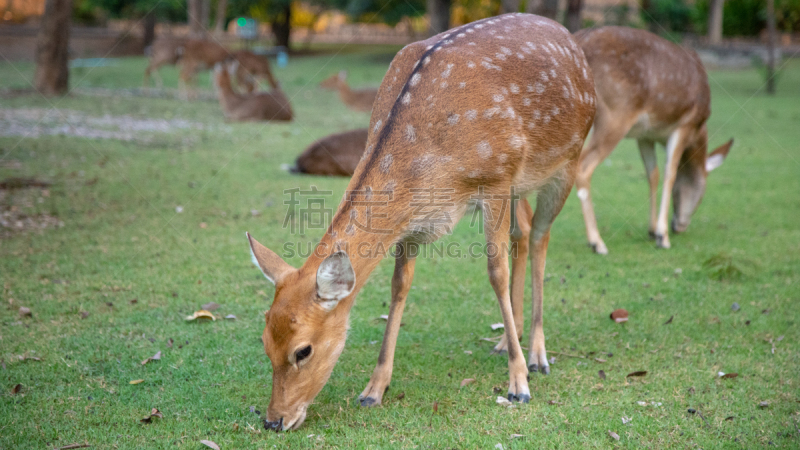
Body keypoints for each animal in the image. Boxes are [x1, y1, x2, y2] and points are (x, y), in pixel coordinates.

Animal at [247, 12, 596, 430]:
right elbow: (399, 285)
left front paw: (519, 384)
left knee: (541, 234)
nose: (274, 420)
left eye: (303, 350)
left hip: (566, 159)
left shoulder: (496, 178)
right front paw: (373, 389)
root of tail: (573, 42)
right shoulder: (415, 220)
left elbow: (495, 272)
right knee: (524, 230)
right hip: (521, 184)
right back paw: (502, 342)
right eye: (265, 341)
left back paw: (538, 355)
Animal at [576, 27, 732, 253]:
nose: (679, 226)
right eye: (703, 192)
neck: (699, 130)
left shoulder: (645, 135)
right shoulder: (684, 125)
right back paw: (597, 242)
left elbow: (653, 174)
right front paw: (662, 236)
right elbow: (670, 173)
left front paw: (651, 231)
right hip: (615, 114)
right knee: (583, 166)